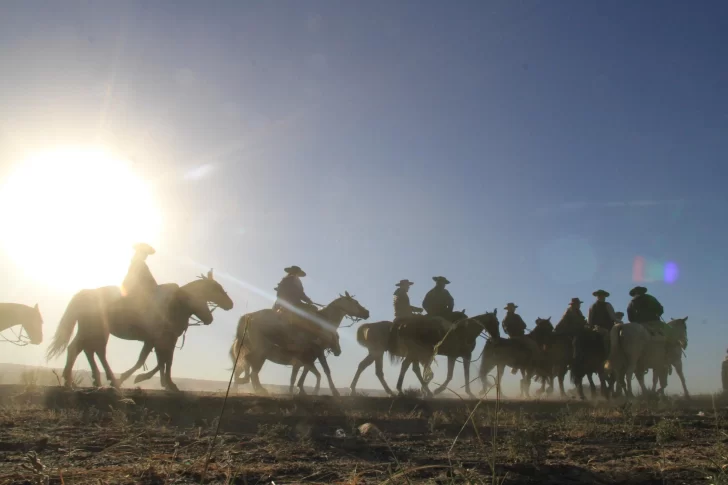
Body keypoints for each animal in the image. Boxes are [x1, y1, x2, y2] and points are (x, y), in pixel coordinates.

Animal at [46, 270, 233, 392]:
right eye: (216, 288)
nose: (230, 304)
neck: (175, 304)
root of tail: (84, 294)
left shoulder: (160, 341)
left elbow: (161, 361)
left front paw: (164, 382)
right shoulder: (160, 340)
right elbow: (156, 361)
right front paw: (152, 380)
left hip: (90, 330)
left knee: (80, 349)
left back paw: (79, 380)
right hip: (96, 331)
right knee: (93, 350)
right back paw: (107, 379)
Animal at [230, 292, 370, 394]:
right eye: (355, 302)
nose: (367, 313)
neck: (323, 322)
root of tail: (248, 316)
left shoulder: (307, 356)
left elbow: (305, 372)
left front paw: (301, 389)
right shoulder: (317, 351)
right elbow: (325, 370)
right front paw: (334, 391)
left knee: (242, 367)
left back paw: (242, 387)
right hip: (261, 349)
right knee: (250, 364)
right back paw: (257, 388)